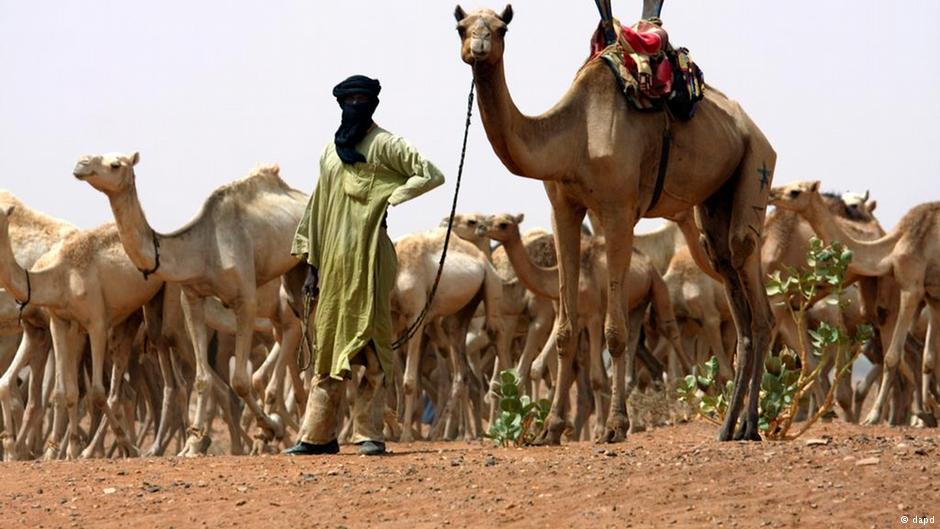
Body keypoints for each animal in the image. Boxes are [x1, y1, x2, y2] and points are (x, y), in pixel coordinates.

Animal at [75, 153, 308, 454]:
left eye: (116, 164)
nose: (81, 164)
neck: (204, 248)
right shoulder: (192, 299)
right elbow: (201, 378)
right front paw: (195, 442)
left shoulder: (245, 298)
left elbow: (240, 380)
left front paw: (270, 428)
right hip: (292, 284)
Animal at [392, 227, 504, 442]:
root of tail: (484, 262)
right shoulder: (392, 321)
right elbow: (394, 377)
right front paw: (398, 423)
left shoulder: (416, 316)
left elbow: (409, 381)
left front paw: (406, 435)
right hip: (457, 317)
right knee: (462, 373)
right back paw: (446, 433)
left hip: (492, 289)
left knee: (497, 340)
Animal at [452, 6, 776, 440]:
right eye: (461, 27)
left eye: (502, 28)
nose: (479, 48)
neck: (575, 135)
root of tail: (752, 127)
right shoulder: (563, 208)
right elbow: (565, 330)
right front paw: (551, 428)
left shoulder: (618, 210)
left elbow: (615, 333)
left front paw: (616, 426)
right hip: (714, 201)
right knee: (730, 280)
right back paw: (728, 427)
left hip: (756, 163)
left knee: (753, 287)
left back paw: (750, 426)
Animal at [772, 180, 940, 424]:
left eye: (795, 192)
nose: (772, 193)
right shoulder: (932, 294)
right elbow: (928, 359)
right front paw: (928, 411)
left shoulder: (911, 287)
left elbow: (892, 357)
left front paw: (873, 416)